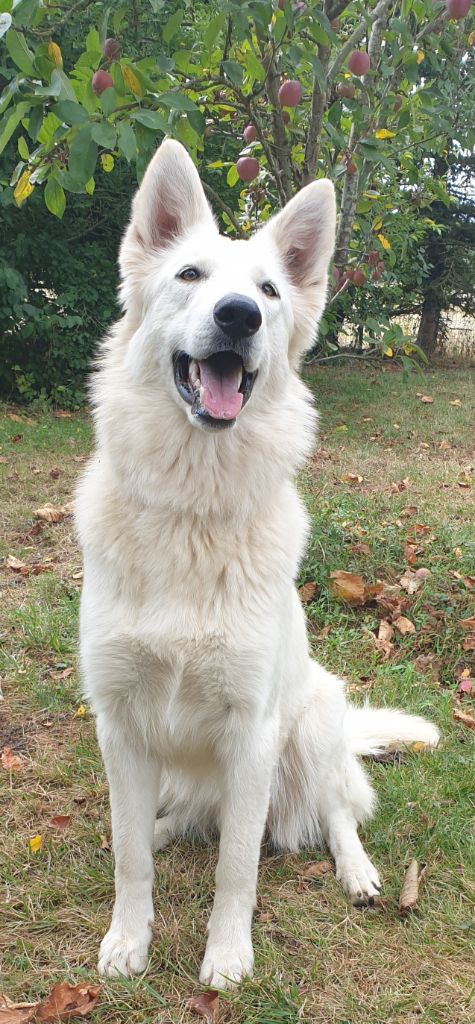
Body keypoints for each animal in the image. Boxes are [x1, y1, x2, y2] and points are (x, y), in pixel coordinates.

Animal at [76, 140, 440, 987]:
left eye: (269, 291)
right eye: (189, 275)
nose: (238, 315)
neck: (191, 512)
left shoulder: (252, 735)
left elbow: (237, 864)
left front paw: (227, 956)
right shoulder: (120, 727)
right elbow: (129, 855)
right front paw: (128, 939)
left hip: (310, 723)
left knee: (335, 810)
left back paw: (358, 873)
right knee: (174, 822)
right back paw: (167, 826)